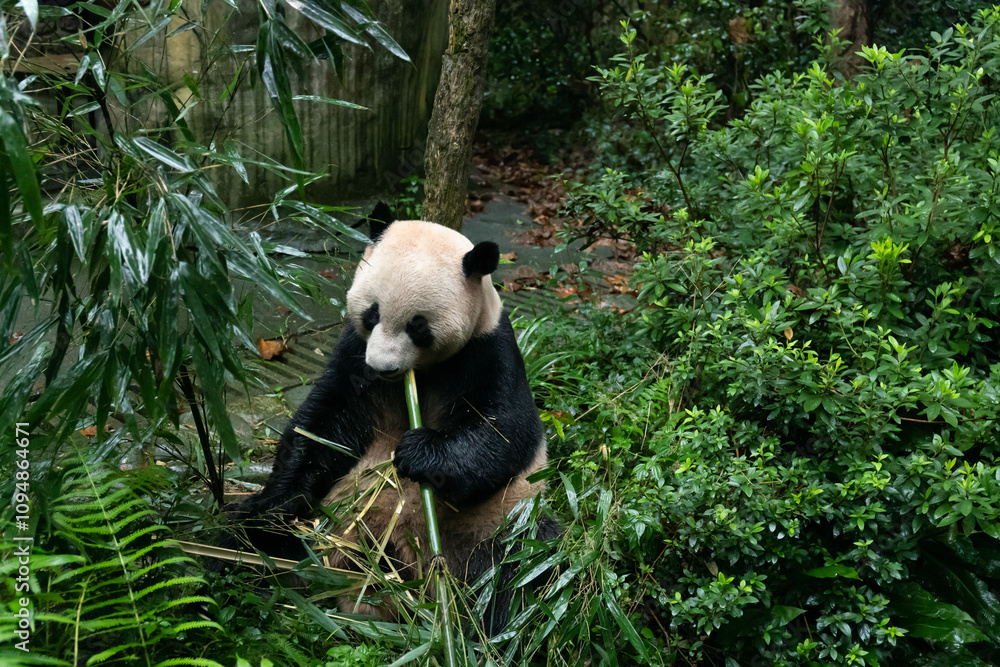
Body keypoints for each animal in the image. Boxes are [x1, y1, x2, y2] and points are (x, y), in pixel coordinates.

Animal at [223, 202, 559, 634]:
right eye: (372, 313)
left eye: (419, 325)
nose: (383, 368)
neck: (415, 376)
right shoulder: (354, 357)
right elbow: (321, 427)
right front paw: (279, 498)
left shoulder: (489, 349)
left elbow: (503, 432)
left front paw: (419, 453)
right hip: (333, 526)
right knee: (253, 538)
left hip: (496, 524)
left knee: (521, 570)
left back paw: (482, 626)